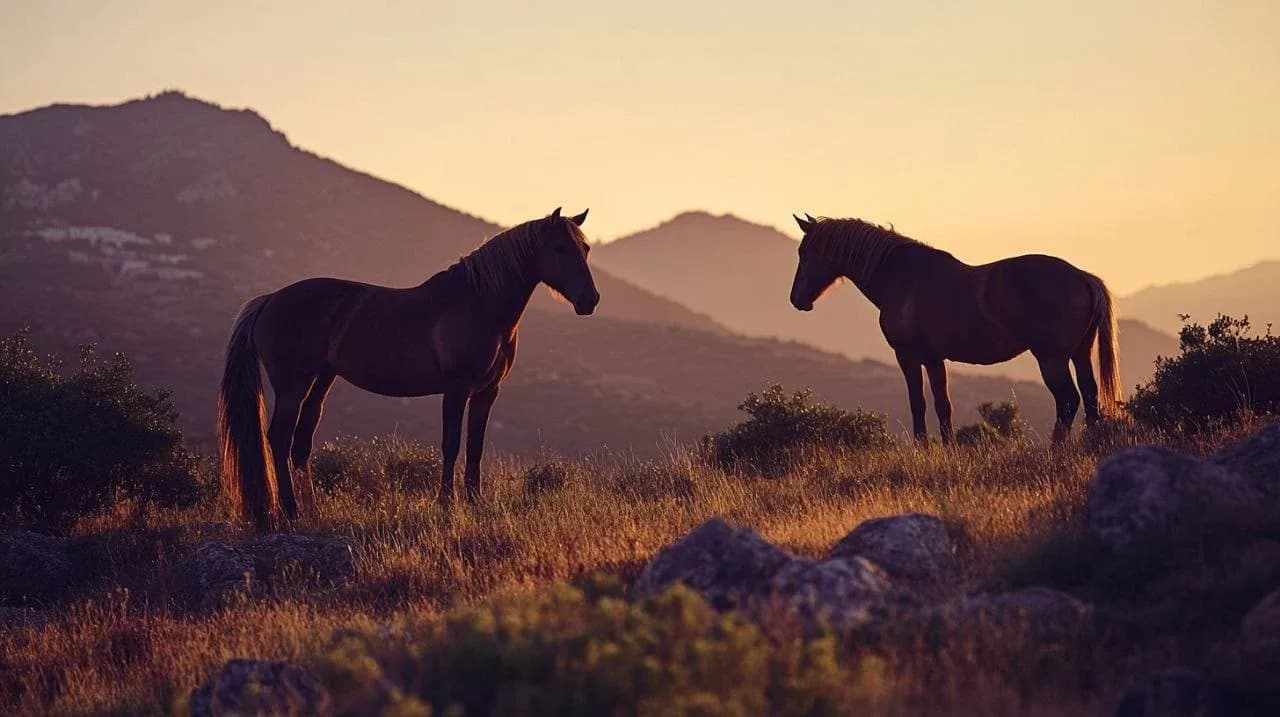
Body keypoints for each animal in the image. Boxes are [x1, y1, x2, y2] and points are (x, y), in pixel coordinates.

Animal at [218, 208, 599, 532]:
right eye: (558, 248)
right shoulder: (457, 389)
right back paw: (290, 511)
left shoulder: (487, 392)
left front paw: (475, 502)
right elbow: (451, 445)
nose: (590, 300)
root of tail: (269, 299)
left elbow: (475, 447)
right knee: (280, 439)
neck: (479, 304)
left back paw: (311, 512)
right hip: (293, 386)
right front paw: (446, 504)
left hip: (321, 381)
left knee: (300, 443)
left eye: (586, 248)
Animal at [788, 214, 1120, 444]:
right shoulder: (934, 359)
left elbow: (918, 404)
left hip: (1052, 359)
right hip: (1079, 354)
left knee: (1068, 400)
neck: (900, 277)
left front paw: (923, 449)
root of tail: (1083, 277)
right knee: (1089, 396)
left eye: (804, 252)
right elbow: (942, 405)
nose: (796, 299)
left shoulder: (908, 356)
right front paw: (948, 450)